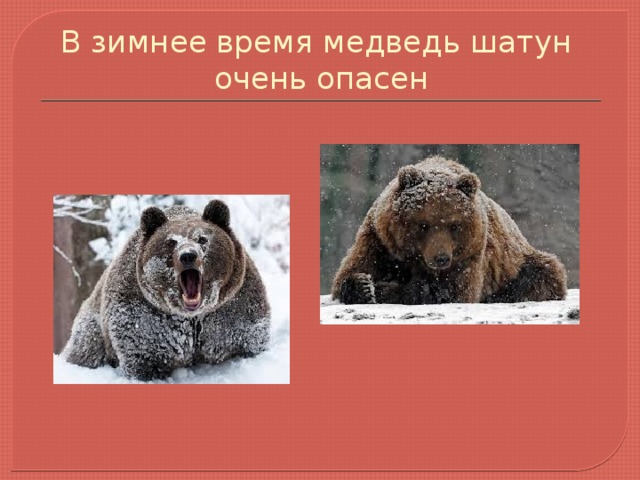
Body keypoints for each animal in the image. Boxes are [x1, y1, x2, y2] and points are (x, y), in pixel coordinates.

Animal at [63, 200, 271, 381]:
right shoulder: (145, 315)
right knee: (87, 349)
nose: (188, 255)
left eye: (202, 239)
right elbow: (144, 355)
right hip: (92, 328)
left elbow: (244, 339)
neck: (192, 316)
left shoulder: (232, 308)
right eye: (171, 241)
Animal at [332, 156, 567, 305]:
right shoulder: (380, 240)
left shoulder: (470, 253)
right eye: (423, 224)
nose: (441, 258)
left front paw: (389, 289)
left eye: (454, 225)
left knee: (544, 272)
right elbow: (352, 270)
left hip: (516, 264)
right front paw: (364, 286)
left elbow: (452, 291)